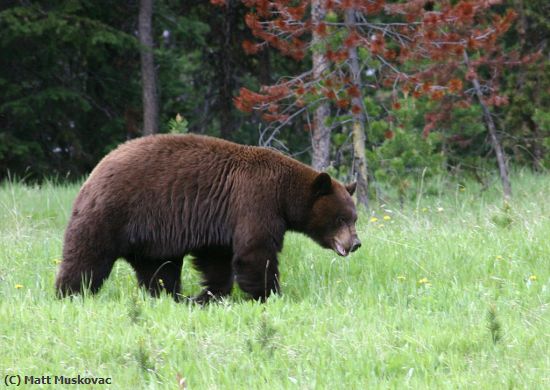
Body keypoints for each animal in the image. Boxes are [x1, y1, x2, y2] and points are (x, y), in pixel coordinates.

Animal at [54, 136, 360, 304]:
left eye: (354, 218)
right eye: (342, 218)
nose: (355, 243)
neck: (283, 193)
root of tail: (95, 171)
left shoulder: (221, 222)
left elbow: (217, 259)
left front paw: (207, 296)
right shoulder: (255, 201)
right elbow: (255, 250)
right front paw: (269, 294)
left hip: (150, 238)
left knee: (159, 270)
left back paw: (170, 297)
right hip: (112, 213)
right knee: (87, 256)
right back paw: (69, 293)